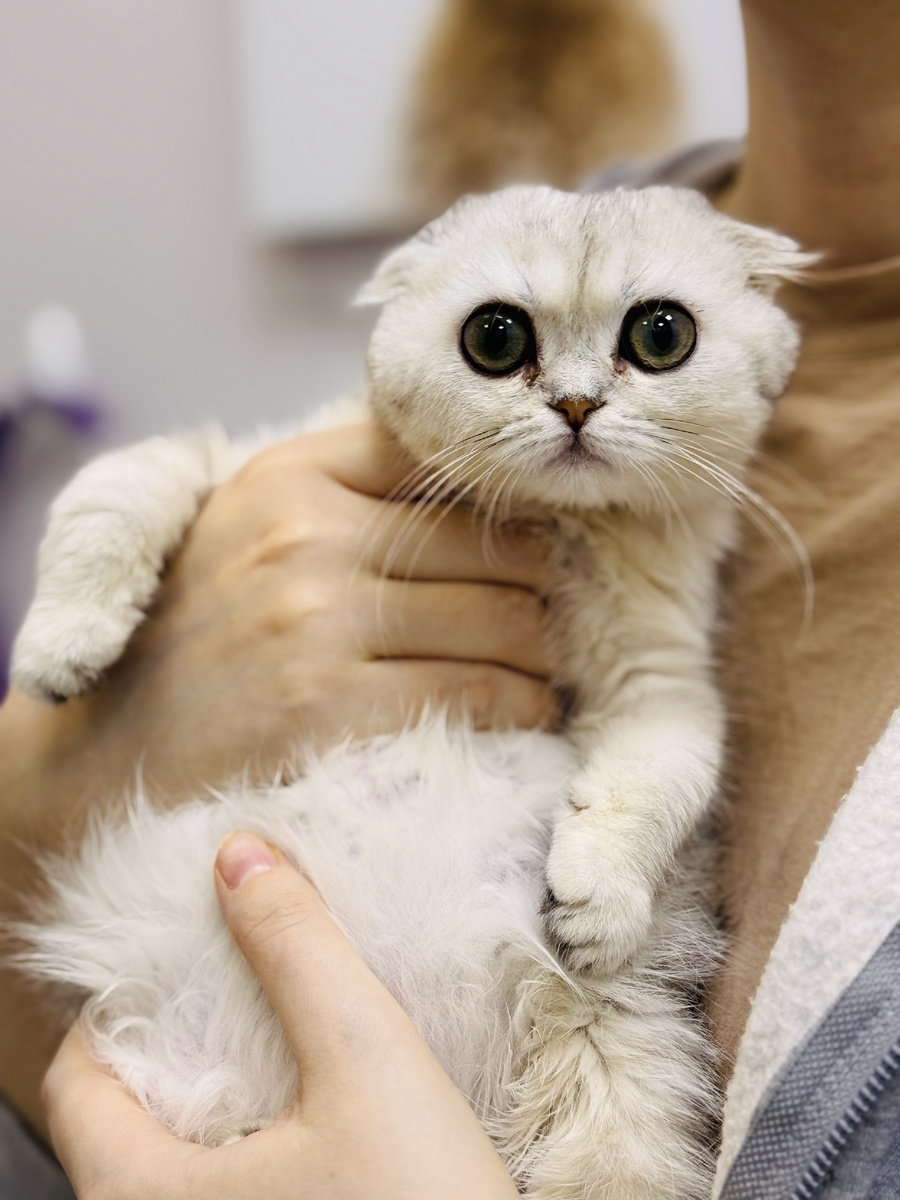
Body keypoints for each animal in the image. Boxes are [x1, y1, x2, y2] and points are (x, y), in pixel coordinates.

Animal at [11, 185, 809, 1200]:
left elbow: (659, 780)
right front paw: (62, 646)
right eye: (496, 339)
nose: (576, 405)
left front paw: (594, 899)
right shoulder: (225, 457)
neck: (548, 526)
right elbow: (115, 489)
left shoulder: (659, 684)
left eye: (660, 335)